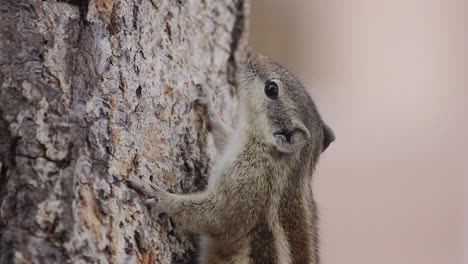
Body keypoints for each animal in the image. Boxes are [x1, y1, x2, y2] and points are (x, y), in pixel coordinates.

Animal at [126, 54, 334, 264]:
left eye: (272, 89)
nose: (253, 58)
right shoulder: (234, 142)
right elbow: (224, 135)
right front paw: (210, 107)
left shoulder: (247, 186)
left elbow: (214, 217)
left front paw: (159, 196)